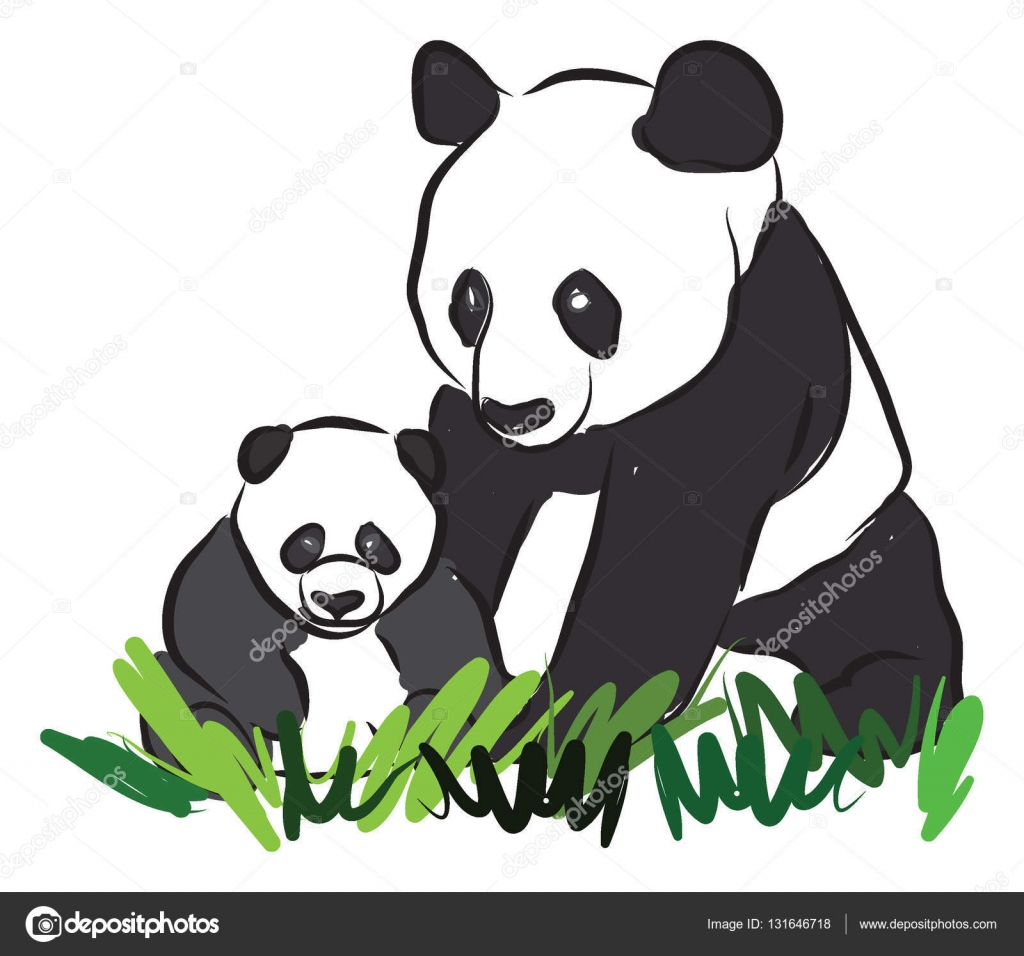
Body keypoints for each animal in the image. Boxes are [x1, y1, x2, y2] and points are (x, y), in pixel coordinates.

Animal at [141, 416, 506, 770]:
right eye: (307, 541)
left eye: (373, 543)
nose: (340, 600)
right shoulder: (234, 562)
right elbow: (219, 635)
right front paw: (281, 707)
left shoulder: (426, 590)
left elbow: (462, 657)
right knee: (179, 693)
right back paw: (222, 754)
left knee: (444, 712)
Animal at [400, 39, 963, 747]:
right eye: (469, 300)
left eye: (581, 299)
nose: (518, 412)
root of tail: (746, 632)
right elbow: (478, 496)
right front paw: (452, 674)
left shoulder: (751, 355)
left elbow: (664, 563)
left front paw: (556, 736)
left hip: (834, 536)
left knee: (885, 597)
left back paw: (864, 716)